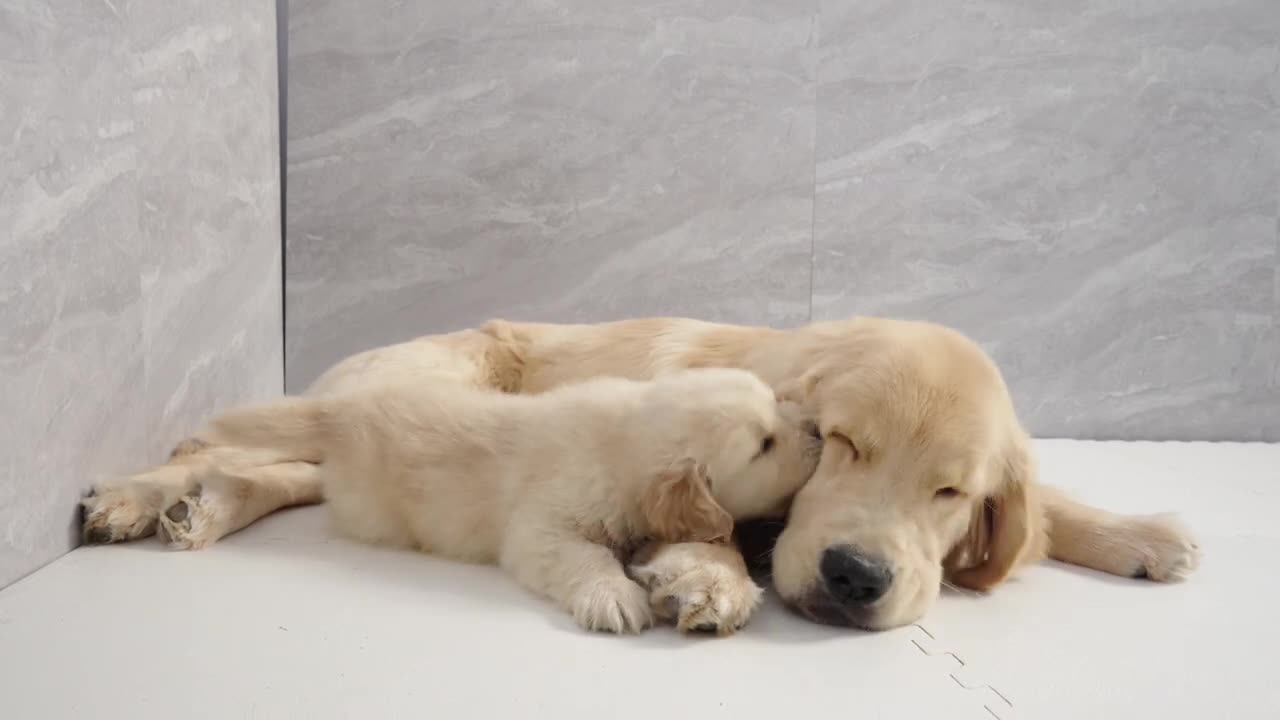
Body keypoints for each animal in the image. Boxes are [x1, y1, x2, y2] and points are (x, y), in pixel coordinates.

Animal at [184, 366, 814, 630]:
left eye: (775, 405)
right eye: (763, 445)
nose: (814, 428)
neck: (626, 437)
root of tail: (340, 412)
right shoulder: (543, 528)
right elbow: (586, 556)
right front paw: (614, 597)